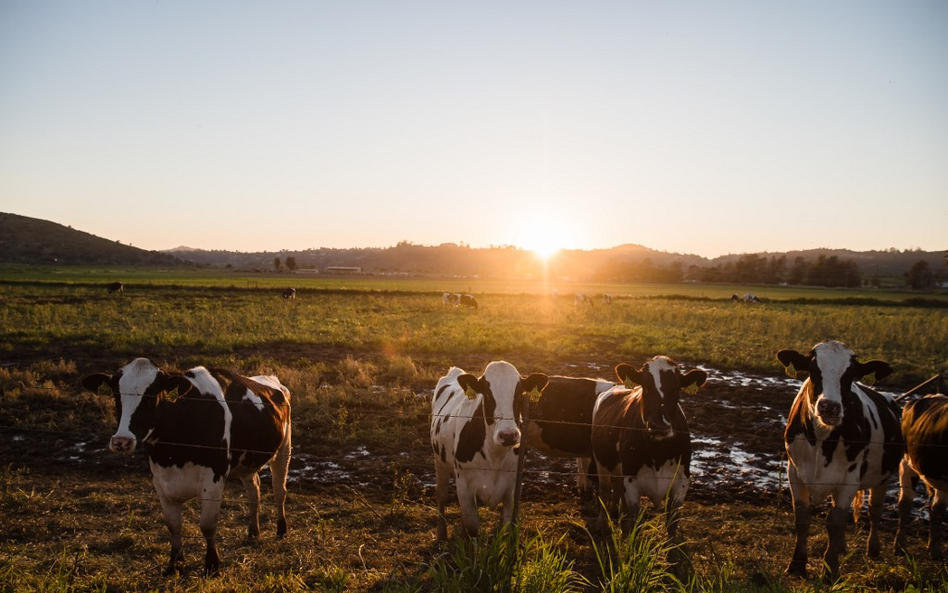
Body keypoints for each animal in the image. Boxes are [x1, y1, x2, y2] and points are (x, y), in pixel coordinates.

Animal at [83, 356, 290, 572]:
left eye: (151, 397)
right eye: (116, 396)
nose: (121, 441)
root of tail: (273, 380)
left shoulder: (213, 479)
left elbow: (207, 525)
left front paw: (212, 565)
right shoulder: (160, 481)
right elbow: (173, 525)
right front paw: (174, 563)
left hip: (284, 449)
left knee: (279, 491)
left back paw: (281, 530)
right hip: (247, 464)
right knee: (254, 492)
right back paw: (253, 531)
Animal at [430, 358, 548, 540]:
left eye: (520, 394)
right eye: (486, 394)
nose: (508, 435)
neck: (495, 456)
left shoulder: (512, 488)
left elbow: (505, 528)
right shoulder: (464, 486)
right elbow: (472, 528)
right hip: (439, 462)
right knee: (441, 495)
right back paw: (441, 534)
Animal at [588, 356, 708, 540]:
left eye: (676, 390)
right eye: (645, 388)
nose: (659, 426)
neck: (658, 452)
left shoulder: (682, 480)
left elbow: (672, 521)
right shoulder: (630, 479)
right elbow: (635, 518)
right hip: (602, 464)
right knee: (604, 491)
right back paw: (602, 524)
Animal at [772, 342, 900, 580]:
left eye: (850, 375)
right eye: (813, 370)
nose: (829, 406)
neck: (823, 439)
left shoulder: (850, 479)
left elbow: (835, 520)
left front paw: (830, 569)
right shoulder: (794, 472)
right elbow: (802, 517)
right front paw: (797, 565)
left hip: (882, 478)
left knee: (874, 511)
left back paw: (873, 548)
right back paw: (841, 547)